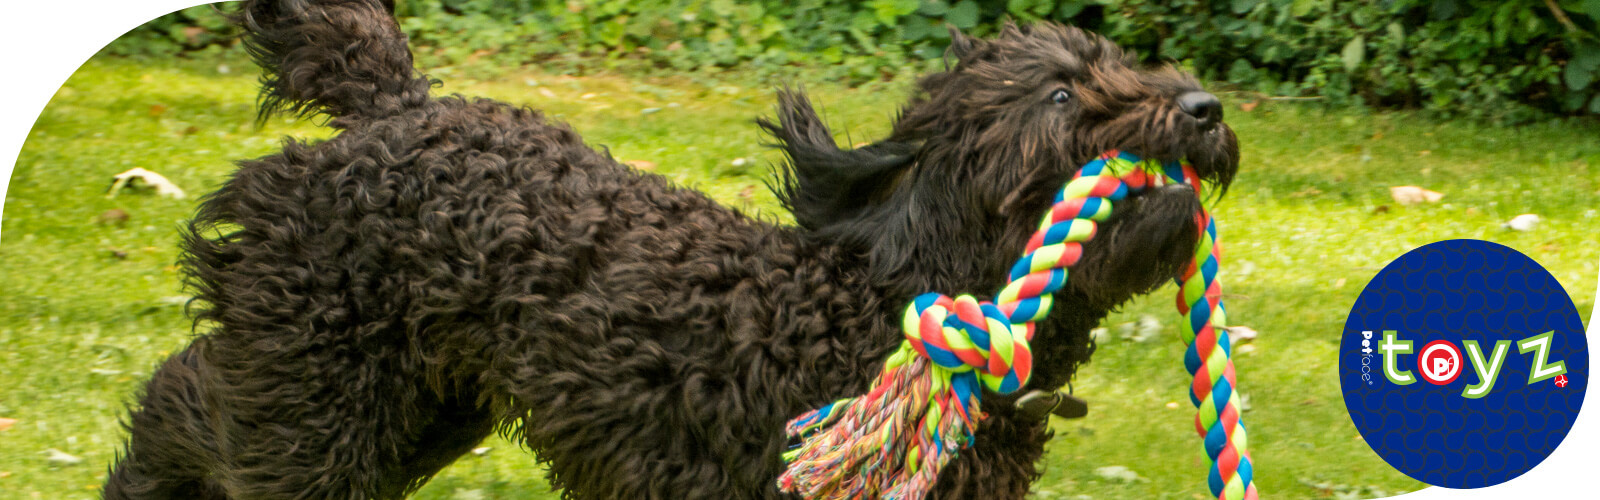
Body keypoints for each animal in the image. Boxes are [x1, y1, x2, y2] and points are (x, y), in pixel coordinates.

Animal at [106, 1, 1241, 496]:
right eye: (1061, 98)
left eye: (1126, 65)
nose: (1205, 108)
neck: (876, 306)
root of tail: (397, 108)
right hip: (324, 390)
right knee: (196, 415)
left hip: (413, 405)